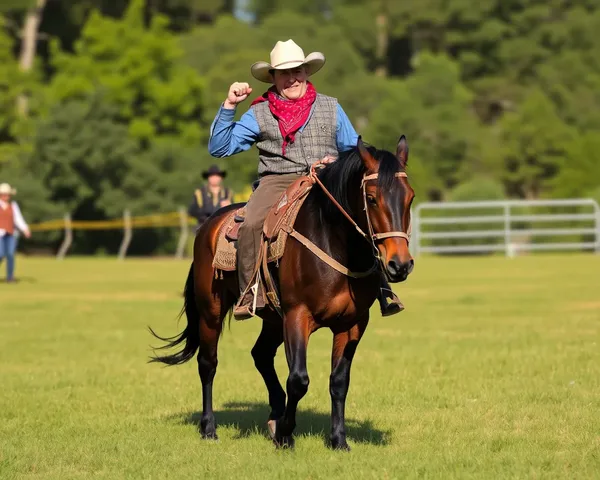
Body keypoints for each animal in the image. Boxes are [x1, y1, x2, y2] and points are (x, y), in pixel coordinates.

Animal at [150, 134, 414, 450]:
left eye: (410, 197)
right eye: (372, 198)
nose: (400, 264)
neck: (333, 242)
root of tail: (209, 225)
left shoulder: (352, 323)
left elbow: (339, 381)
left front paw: (338, 439)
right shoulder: (297, 316)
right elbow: (298, 379)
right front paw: (286, 433)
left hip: (273, 319)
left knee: (260, 354)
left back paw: (274, 413)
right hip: (211, 312)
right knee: (208, 363)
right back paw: (209, 428)